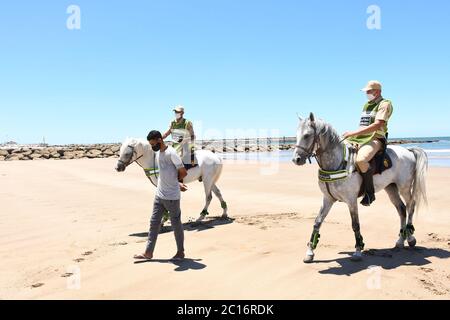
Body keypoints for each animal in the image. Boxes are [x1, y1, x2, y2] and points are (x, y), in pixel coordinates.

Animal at [292, 112, 428, 262]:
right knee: (402, 209)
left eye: (307, 135)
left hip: (404, 187)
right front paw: (310, 252)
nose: (296, 159)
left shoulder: (351, 200)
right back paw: (400, 241)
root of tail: (408, 151)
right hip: (391, 188)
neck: (337, 163)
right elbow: (317, 222)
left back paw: (410, 238)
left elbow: (355, 224)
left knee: (411, 205)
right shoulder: (327, 199)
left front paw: (358, 250)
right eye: (296, 134)